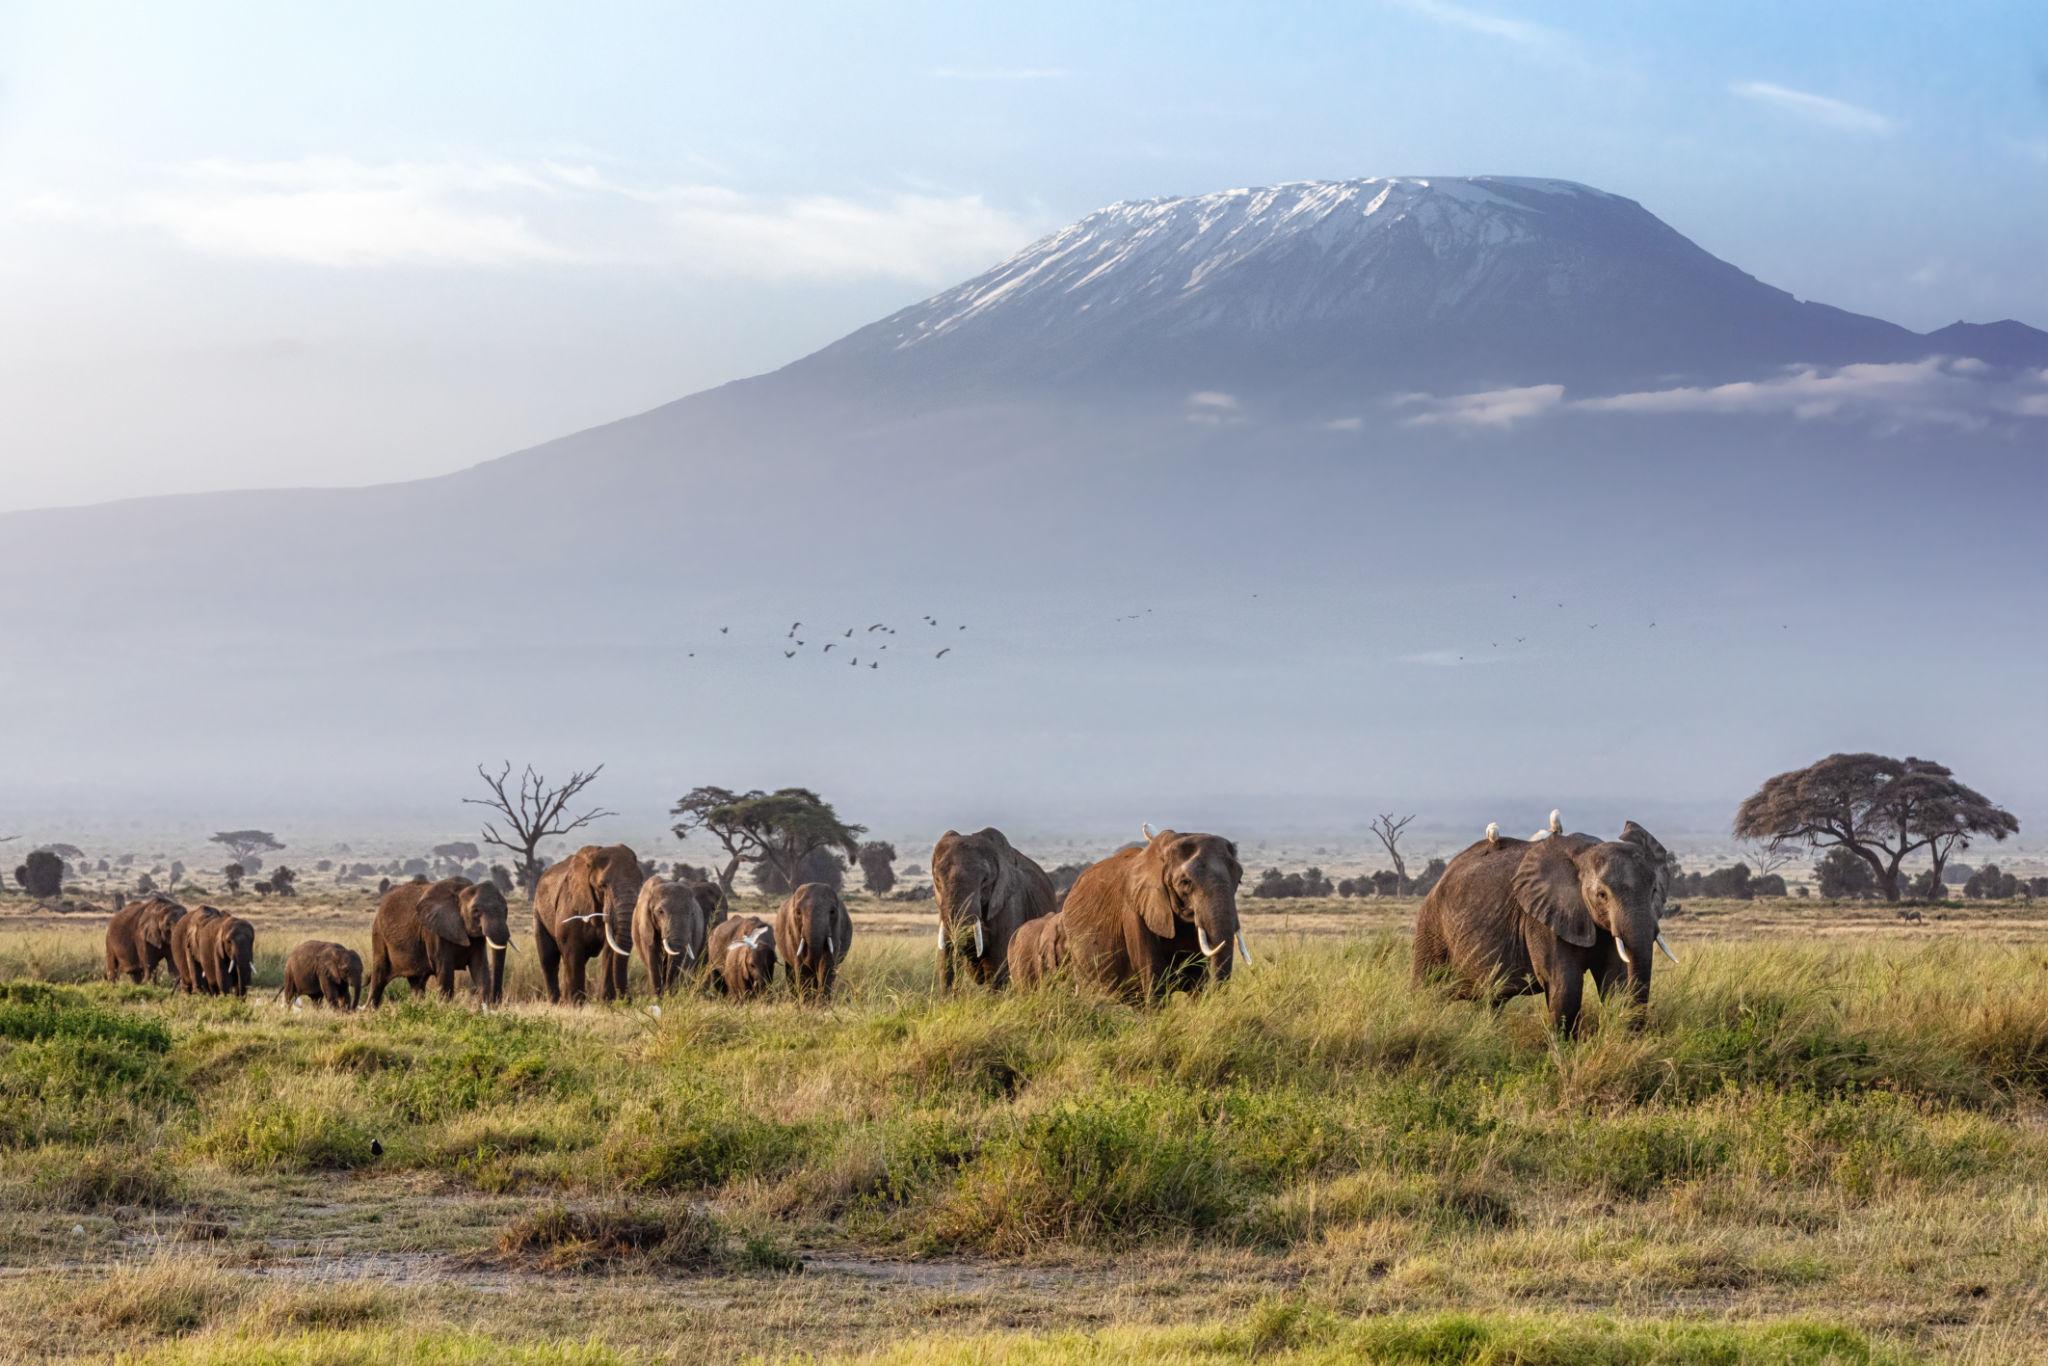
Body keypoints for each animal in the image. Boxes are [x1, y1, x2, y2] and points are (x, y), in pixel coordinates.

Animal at [368, 876, 511, 1006]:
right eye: (476, 911)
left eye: (506, 910)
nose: (496, 1003)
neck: (461, 891)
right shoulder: (435, 931)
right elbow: (445, 971)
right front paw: (445, 1008)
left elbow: (480, 968)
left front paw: (482, 1010)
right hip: (379, 935)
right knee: (379, 978)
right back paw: (370, 1011)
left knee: (417, 983)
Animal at [534, 844, 645, 1004]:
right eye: (602, 886)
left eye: (640, 883)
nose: (628, 1000)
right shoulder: (570, 905)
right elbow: (572, 951)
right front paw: (575, 1004)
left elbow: (610, 951)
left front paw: (607, 1003)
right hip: (538, 913)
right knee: (549, 959)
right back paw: (556, 1003)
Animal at [1411, 817, 1679, 1034]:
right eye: (1601, 895)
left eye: (1654, 891)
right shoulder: (1541, 918)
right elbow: (1565, 986)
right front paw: (1564, 1055)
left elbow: (1615, 980)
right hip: (1431, 927)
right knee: (1427, 992)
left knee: (1490, 1002)